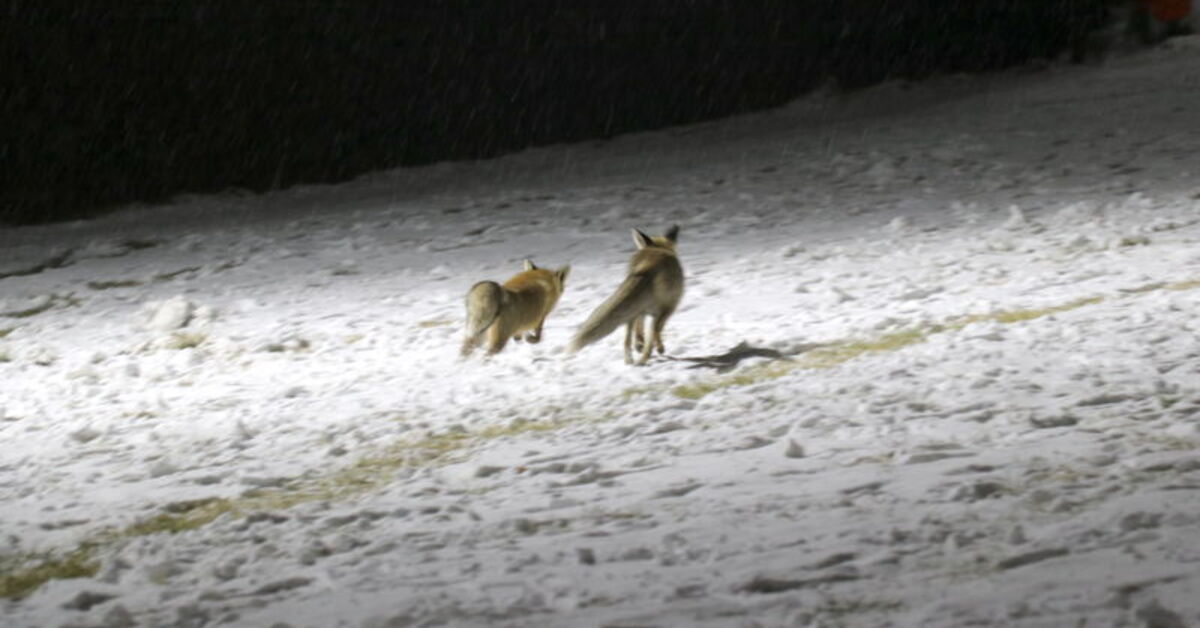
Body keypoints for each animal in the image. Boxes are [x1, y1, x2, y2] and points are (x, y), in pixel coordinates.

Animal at [571, 225, 686, 365]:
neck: (657, 249)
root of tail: (647, 266)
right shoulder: (664, 310)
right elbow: (654, 332)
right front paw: (657, 347)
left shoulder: (641, 310)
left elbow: (639, 328)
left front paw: (639, 344)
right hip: (666, 308)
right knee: (652, 335)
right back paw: (644, 359)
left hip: (632, 310)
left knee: (627, 338)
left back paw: (630, 360)